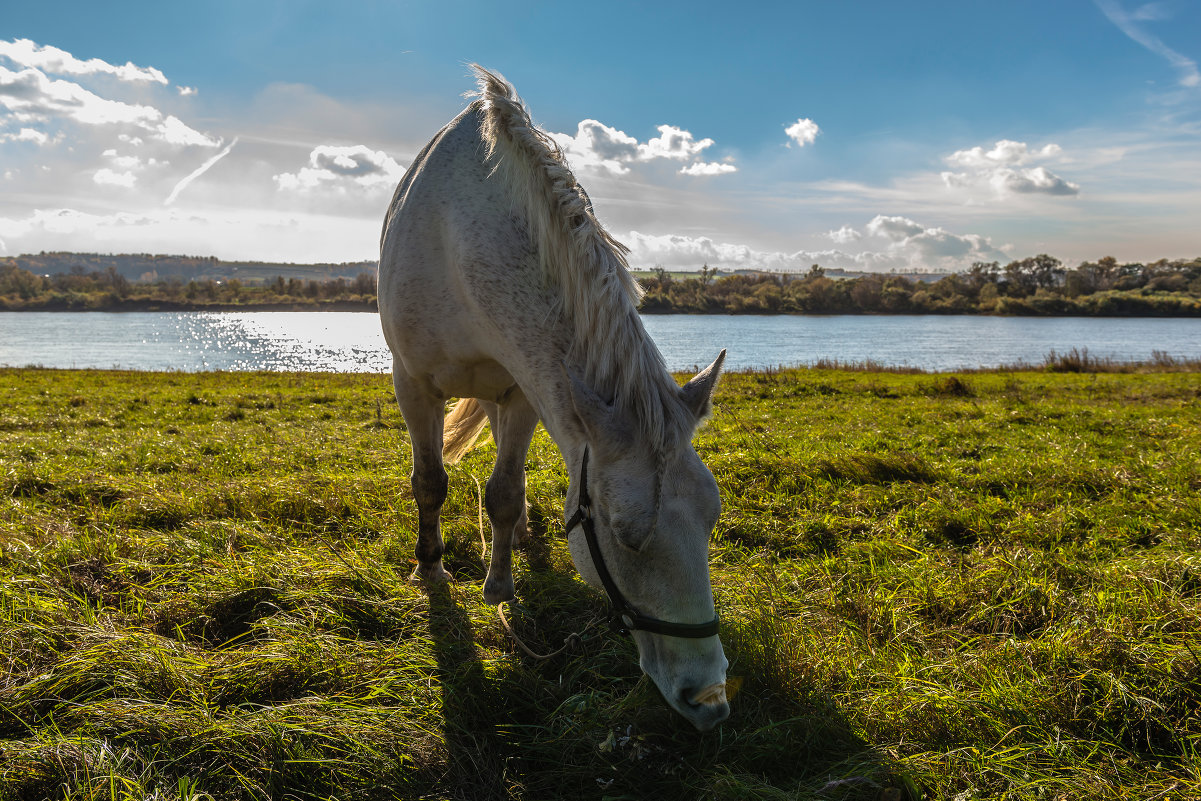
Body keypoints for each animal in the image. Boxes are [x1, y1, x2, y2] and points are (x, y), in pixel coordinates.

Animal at [379, 67, 725, 734]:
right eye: (624, 534)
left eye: (712, 517)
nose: (710, 699)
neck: (460, 241)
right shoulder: (414, 385)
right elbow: (430, 482)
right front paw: (431, 569)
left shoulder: (524, 390)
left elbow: (505, 493)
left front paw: (499, 584)